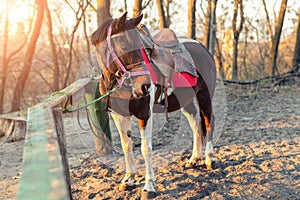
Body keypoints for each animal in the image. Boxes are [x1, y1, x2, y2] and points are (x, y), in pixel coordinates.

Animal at [91, 11, 216, 195]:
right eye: (123, 44)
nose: (145, 86)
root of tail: (202, 48)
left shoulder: (144, 114)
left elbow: (146, 148)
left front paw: (148, 186)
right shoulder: (119, 115)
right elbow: (126, 146)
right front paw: (128, 180)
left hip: (204, 96)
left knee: (208, 122)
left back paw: (209, 159)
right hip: (186, 101)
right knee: (196, 124)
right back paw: (194, 158)